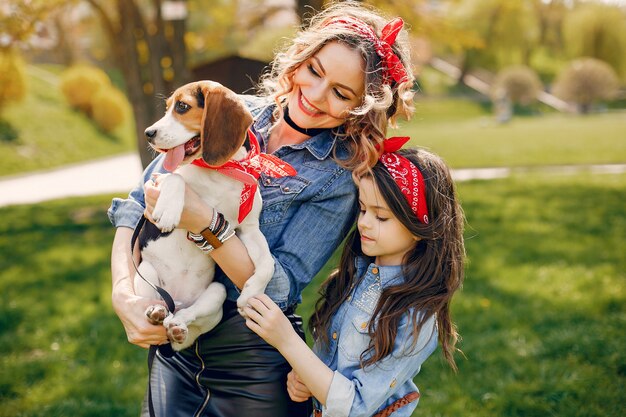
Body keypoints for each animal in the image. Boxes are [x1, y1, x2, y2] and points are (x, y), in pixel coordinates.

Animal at [134, 79, 272, 350]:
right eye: (167, 107)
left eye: (182, 106)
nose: (148, 133)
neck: (220, 171)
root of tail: (177, 303)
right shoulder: (159, 181)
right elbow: (175, 177)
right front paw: (168, 211)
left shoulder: (249, 229)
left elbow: (268, 264)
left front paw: (251, 294)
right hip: (145, 272)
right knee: (156, 305)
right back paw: (156, 312)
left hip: (217, 293)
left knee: (187, 317)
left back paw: (177, 327)